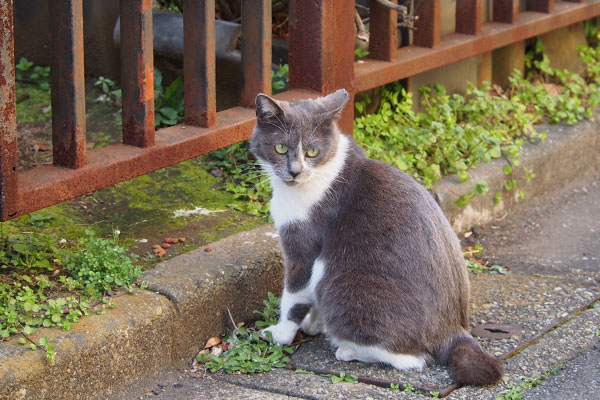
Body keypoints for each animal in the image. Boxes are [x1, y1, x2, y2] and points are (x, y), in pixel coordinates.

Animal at [251, 90, 504, 384]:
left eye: (312, 151)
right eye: (280, 148)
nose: (295, 171)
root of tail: (455, 331)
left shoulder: (304, 248)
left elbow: (294, 296)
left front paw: (280, 333)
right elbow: (310, 299)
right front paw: (312, 324)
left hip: (345, 287)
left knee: (414, 359)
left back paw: (347, 349)